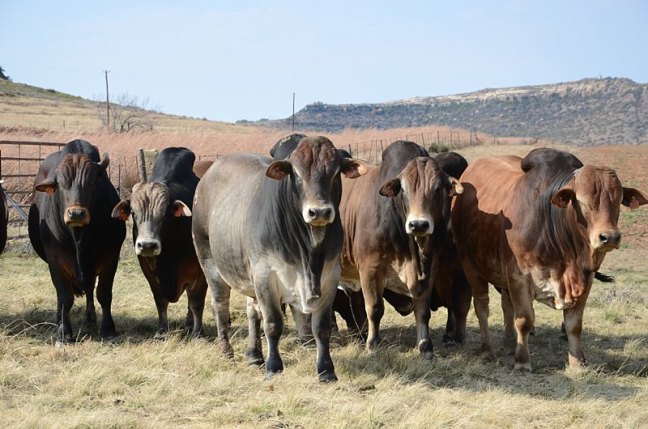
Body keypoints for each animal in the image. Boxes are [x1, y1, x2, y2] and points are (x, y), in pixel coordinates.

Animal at [28, 139, 126, 343]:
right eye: (61, 184)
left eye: (92, 182)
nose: (76, 213)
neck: (79, 236)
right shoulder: (55, 261)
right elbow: (65, 297)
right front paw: (64, 331)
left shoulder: (111, 257)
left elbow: (103, 293)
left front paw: (108, 328)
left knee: (89, 289)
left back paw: (90, 317)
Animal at [112, 147, 207, 339]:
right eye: (133, 213)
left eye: (165, 214)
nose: (147, 246)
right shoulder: (149, 270)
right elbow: (160, 301)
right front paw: (162, 331)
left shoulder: (201, 271)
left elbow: (197, 301)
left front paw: (198, 333)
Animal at [192, 136, 367, 381]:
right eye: (297, 175)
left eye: (334, 174)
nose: (319, 212)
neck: (308, 251)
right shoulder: (265, 276)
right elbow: (273, 324)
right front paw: (273, 366)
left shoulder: (330, 277)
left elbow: (321, 327)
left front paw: (326, 370)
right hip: (210, 263)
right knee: (220, 306)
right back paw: (226, 351)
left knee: (252, 312)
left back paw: (254, 354)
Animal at [339, 140, 464, 359]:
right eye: (403, 190)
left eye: (438, 188)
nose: (418, 224)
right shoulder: (369, 269)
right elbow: (375, 308)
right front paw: (373, 343)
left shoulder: (430, 269)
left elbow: (422, 312)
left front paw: (425, 346)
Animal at [451, 147, 648, 370]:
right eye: (582, 201)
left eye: (618, 201)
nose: (609, 237)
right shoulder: (519, 276)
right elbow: (524, 321)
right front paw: (522, 362)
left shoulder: (585, 280)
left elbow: (573, 325)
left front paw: (577, 362)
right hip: (471, 266)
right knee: (482, 306)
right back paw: (487, 350)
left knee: (506, 306)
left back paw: (509, 346)